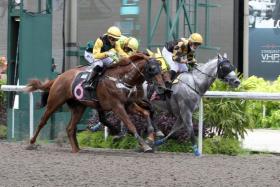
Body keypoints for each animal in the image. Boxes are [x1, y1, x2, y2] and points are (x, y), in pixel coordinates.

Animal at [25, 53, 165, 153]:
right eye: (152, 69)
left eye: (161, 68)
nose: (162, 87)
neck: (121, 79)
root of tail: (58, 78)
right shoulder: (117, 106)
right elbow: (131, 125)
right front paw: (145, 145)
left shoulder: (128, 104)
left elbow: (146, 113)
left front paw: (152, 135)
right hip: (55, 102)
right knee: (43, 121)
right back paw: (31, 143)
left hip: (79, 107)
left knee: (70, 128)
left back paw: (77, 149)